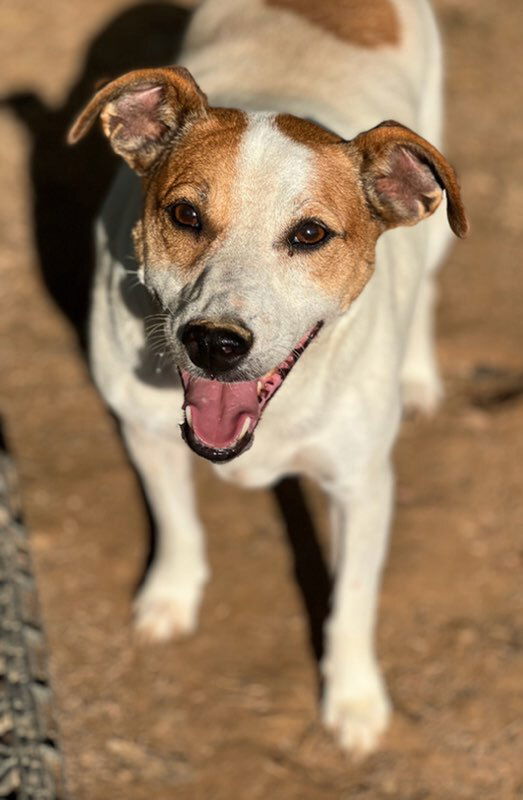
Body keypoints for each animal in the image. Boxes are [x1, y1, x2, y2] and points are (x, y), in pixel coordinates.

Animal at [68, 0, 466, 756]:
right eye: (185, 214)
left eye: (309, 235)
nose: (215, 343)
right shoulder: (143, 431)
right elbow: (176, 521)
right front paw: (171, 598)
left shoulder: (361, 487)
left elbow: (351, 603)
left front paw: (353, 700)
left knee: (430, 279)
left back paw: (420, 378)